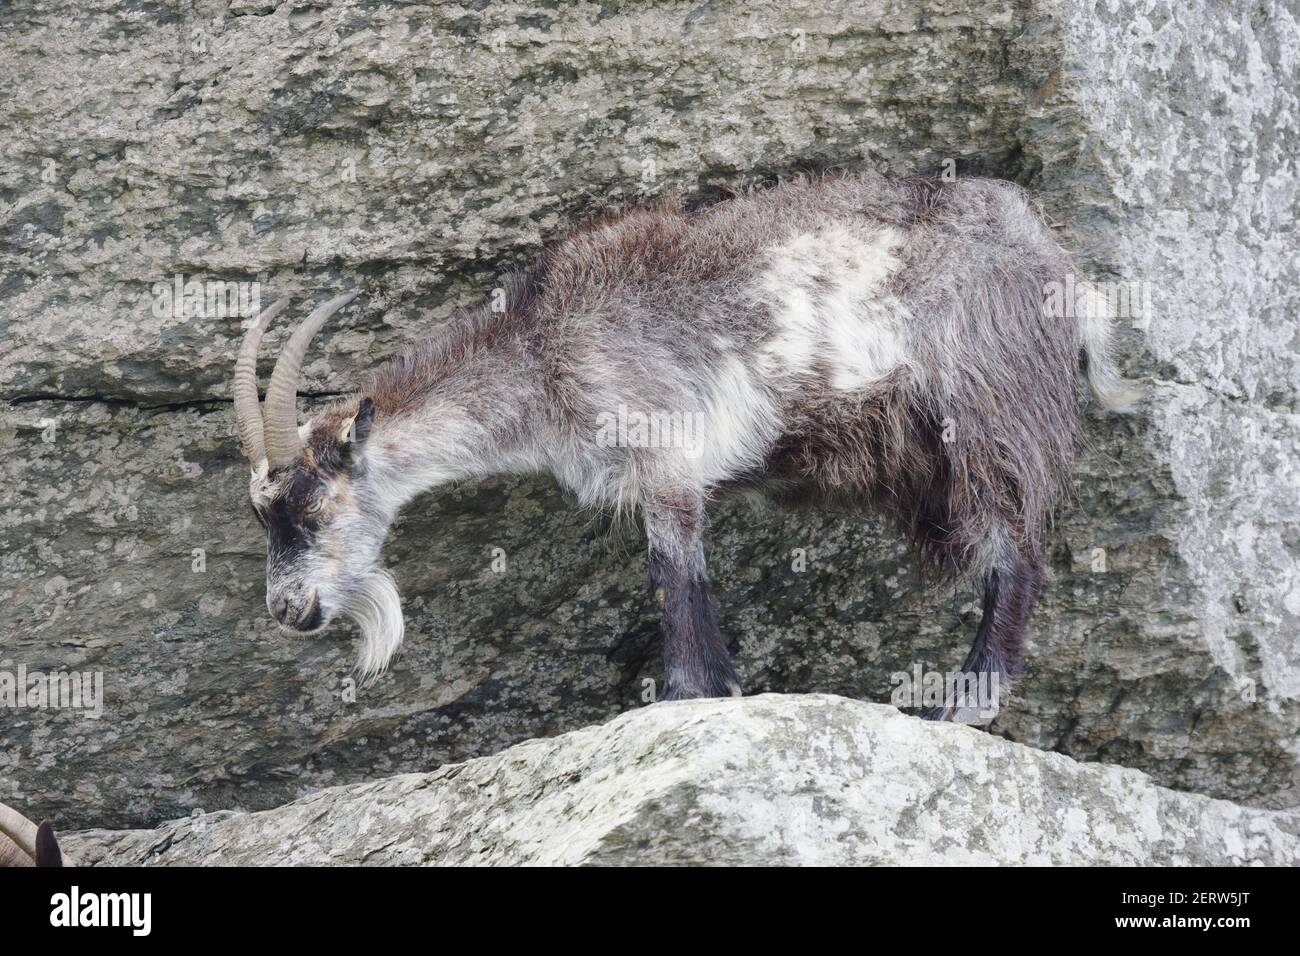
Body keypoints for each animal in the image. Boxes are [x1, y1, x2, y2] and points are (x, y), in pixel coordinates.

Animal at [233, 174, 1138, 712]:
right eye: (262, 515)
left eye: (313, 506)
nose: (287, 611)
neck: (544, 349)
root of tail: (1059, 263)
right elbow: (684, 572)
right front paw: (716, 687)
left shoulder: (662, 455)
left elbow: (672, 572)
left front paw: (683, 694)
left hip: (990, 405)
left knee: (1017, 548)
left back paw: (971, 697)